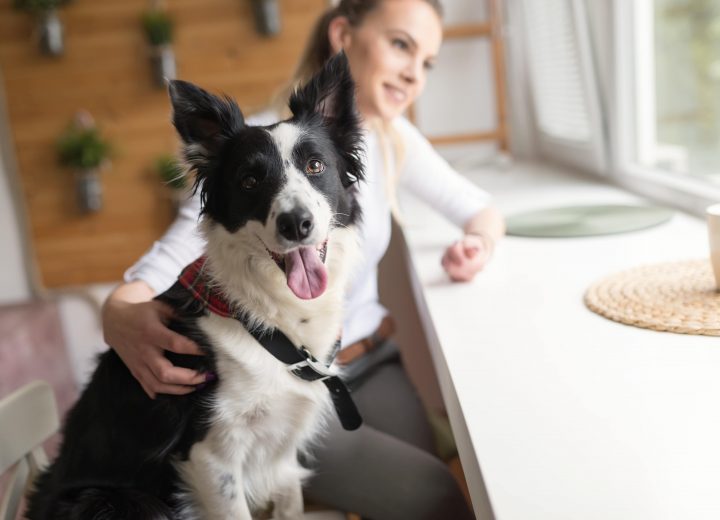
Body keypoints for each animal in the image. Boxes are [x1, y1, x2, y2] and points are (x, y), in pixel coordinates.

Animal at [26, 53, 366, 520]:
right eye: (248, 181)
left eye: (316, 166)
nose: (296, 224)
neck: (270, 317)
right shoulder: (211, 456)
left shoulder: (282, 456)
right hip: (122, 501)